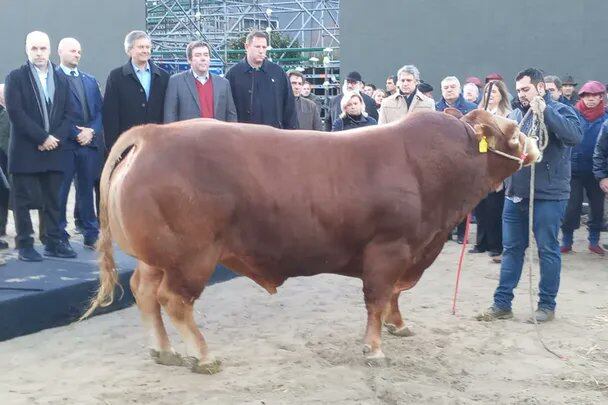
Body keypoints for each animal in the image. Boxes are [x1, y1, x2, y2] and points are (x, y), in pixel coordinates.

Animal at [82, 108, 540, 372]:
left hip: (156, 256)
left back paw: (164, 350)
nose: (535, 145)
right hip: (192, 257)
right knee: (174, 301)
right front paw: (374, 349)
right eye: (507, 130)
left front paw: (399, 326)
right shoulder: (388, 248)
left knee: (144, 292)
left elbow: (393, 296)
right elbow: (377, 298)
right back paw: (204, 356)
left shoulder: (410, 251)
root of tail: (154, 133)